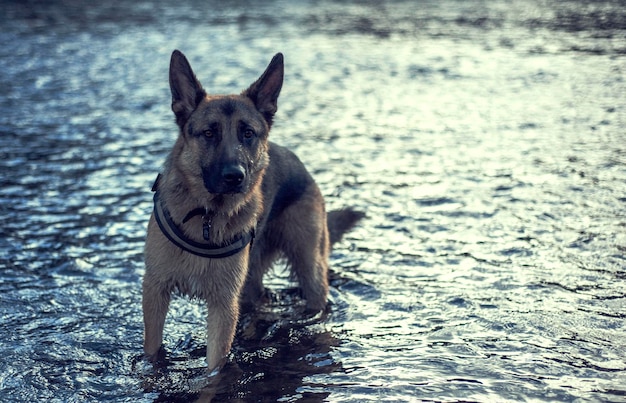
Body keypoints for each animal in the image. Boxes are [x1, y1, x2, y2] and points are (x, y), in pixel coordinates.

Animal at [141, 51, 360, 372]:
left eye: (247, 133)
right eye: (209, 133)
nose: (235, 176)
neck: (206, 217)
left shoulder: (223, 305)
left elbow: (215, 366)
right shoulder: (155, 292)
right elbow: (152, 350)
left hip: (310, 268)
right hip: (252, 282)